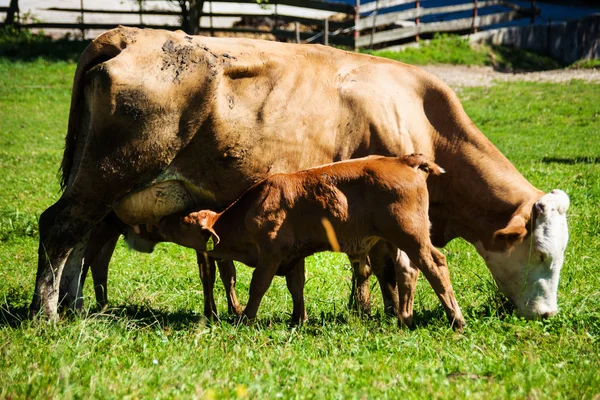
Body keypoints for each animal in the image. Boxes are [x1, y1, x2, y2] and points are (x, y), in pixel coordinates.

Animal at [158, 155, 464, 330]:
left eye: (184, 222)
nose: (162, 220)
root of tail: (405, 160)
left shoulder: (270, 254)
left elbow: (258, 286)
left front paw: (245, 318)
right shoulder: (294, 256)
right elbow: (297, 287)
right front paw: (298, 320)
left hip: (411, 234)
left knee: (435, 264)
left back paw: (456, 320)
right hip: (394, 239)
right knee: (407, 270)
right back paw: (405, 319)